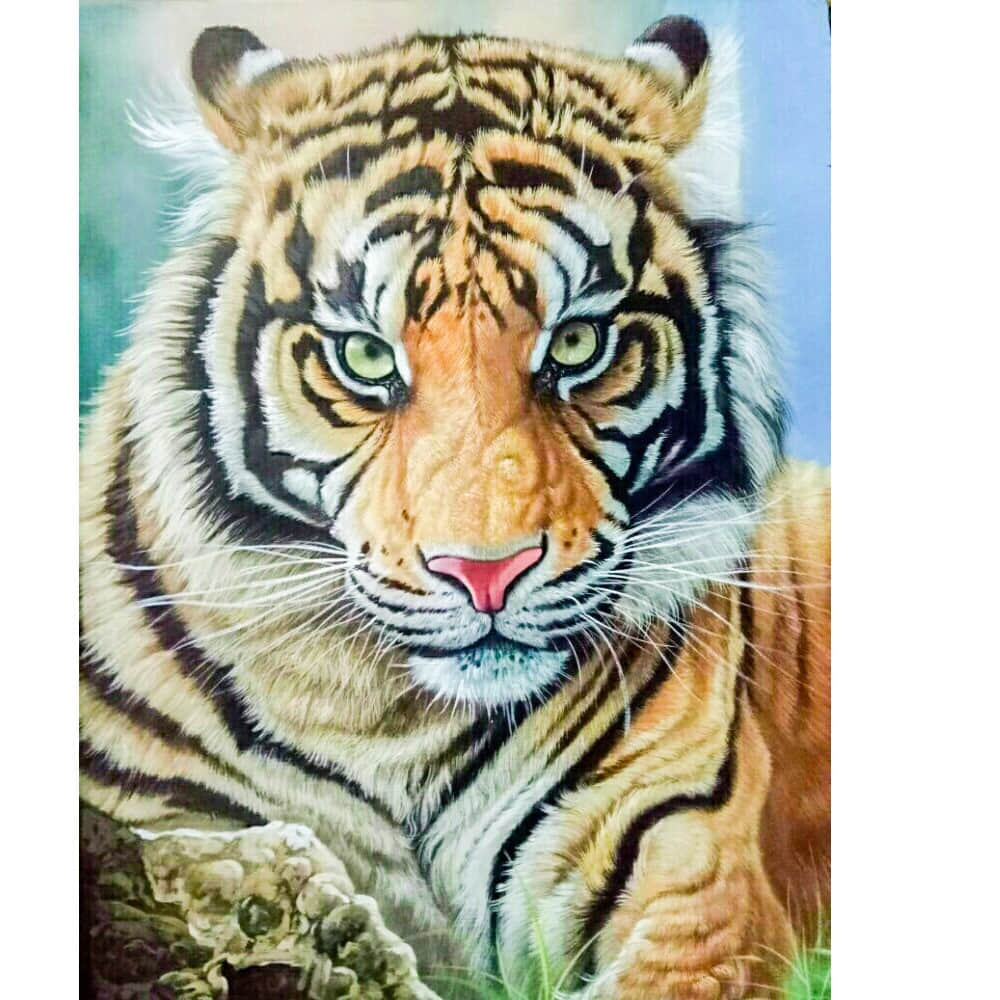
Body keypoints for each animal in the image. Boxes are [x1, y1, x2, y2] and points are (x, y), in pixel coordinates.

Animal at [80, 15, 830, 999]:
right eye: (365, 356)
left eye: (577, 343)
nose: (487, 573)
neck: (392, 723)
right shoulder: (162, 814)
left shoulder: (695, 885)